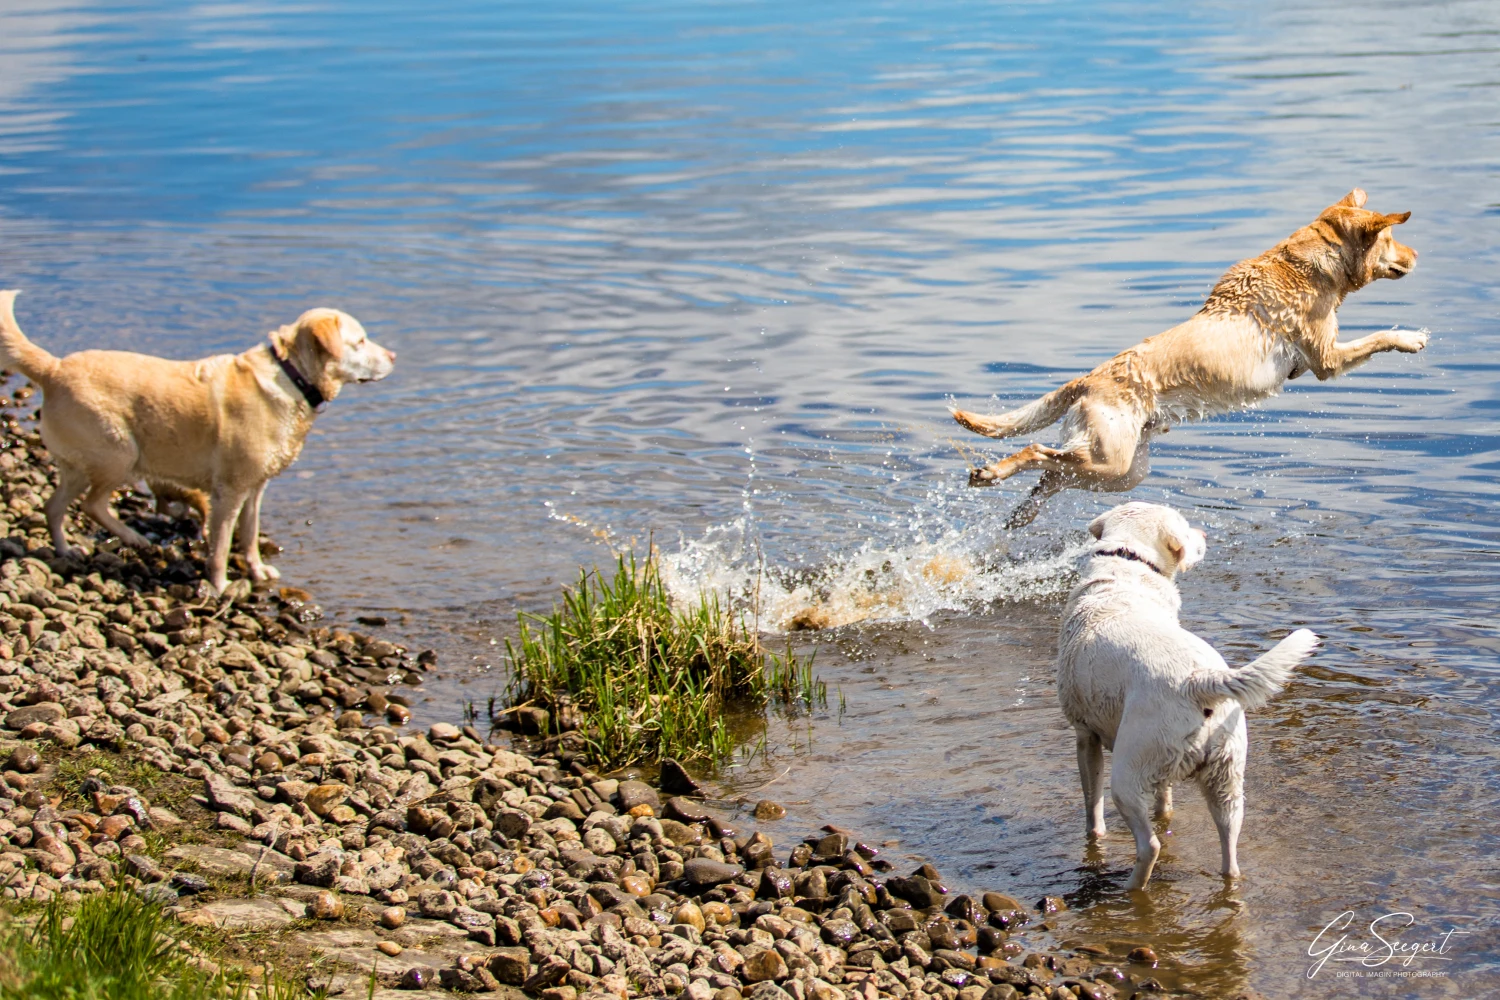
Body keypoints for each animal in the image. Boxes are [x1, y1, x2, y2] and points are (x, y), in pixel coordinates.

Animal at [1062, 503, 1320, 887]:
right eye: (1186, 529)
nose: (1204, 534)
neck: (1128, 566)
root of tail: (1199, 680)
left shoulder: (1085, 735)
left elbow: (1092, 806)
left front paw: (1095, 837)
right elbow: (1164, 798)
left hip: (1127, 774)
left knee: (1150, 845)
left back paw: (1132, 887)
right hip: (1227, 777)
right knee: (1230, 840)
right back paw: (1229, 878)